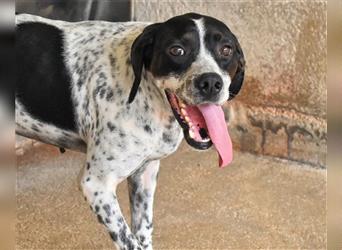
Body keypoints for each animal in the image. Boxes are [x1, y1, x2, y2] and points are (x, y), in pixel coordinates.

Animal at [16, 12, 244, 250]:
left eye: (226, 50)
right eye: (177, 50)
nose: (210, 83)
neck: (144, 90)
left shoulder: (144, 173)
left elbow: (143, 232)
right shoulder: (96, 185)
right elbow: (130, 241)